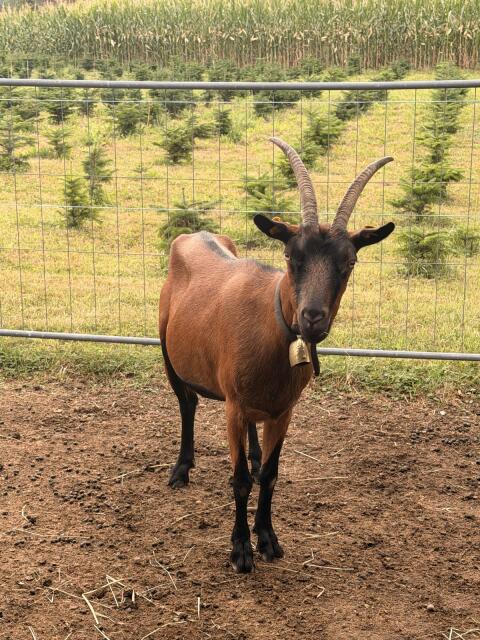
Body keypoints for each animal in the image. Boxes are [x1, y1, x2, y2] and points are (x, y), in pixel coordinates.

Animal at [159, 138, 394, 572]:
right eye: (290, 256)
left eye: (349, 261)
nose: (312, 318)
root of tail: (193, 234)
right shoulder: (233, 406)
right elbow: (238, 481)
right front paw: (240, 549)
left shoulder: (284, 410)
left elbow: (269, 474)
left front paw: (267, 538)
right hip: (168, 353)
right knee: (187, 404)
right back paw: (181, 469)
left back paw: (251, 455)